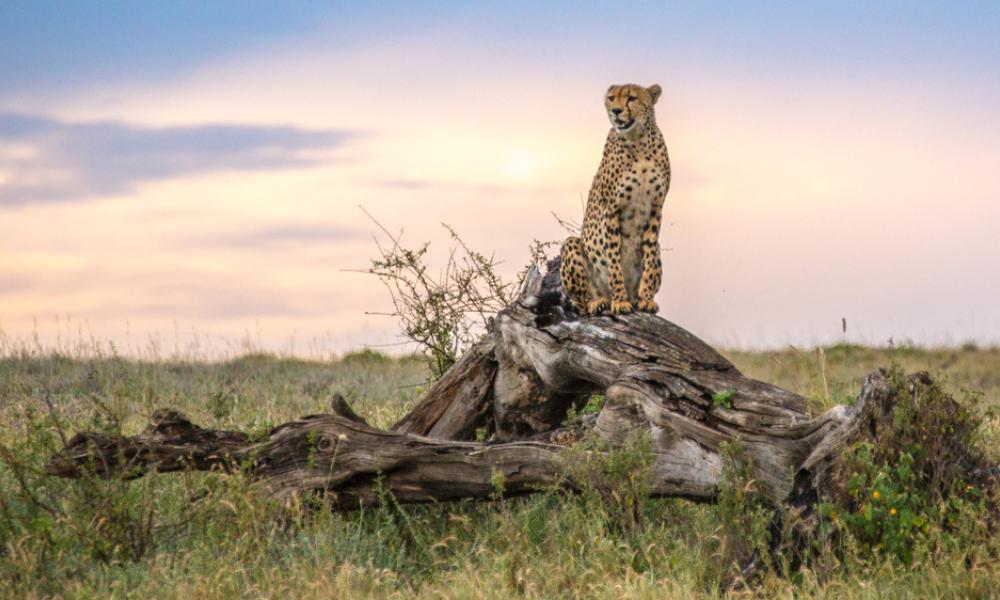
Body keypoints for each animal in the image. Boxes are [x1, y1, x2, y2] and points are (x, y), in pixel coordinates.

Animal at [564, 85, 672, 318]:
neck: (638, 141)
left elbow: (649, 257)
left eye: (631, 98)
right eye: (611, 98)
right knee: (582, 304)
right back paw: (599, 302)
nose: (615, 111)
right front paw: (620, 301)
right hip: (572, 245)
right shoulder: (612, 210)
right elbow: (613, 260)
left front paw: (646, 298)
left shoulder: (656, 208)